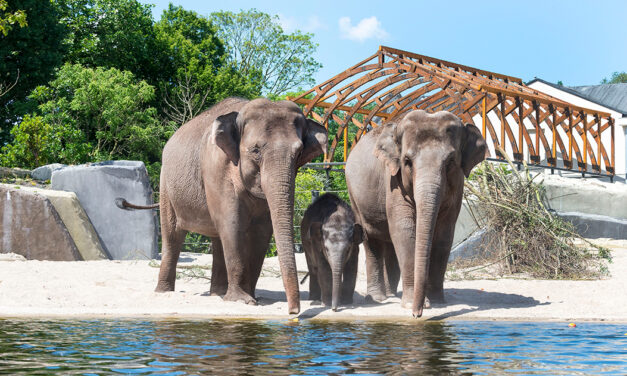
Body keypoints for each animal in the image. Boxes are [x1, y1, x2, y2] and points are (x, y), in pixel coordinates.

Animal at [144, 97, 326, 314]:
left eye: (299, 153)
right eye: (256, 150)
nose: (293, 312)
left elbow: (262, 230)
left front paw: (252, 298)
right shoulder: (216, 167)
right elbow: (232, 223)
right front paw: (243, 300)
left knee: (217, 239)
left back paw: (218, 294)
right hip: (166, 185)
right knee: (173, 235)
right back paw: (165, 292)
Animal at [346, 109, 488, 318]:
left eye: (450, 161)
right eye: (407, 162)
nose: (417, 314)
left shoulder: (458, 186)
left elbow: (445, 234)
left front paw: (437, 302)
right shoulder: (393, 180)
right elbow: (404, 230)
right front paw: (411, 305)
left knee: (389, 244)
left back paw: (391, 294)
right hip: (354, 196)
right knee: (371, 239)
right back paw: (378, 298)